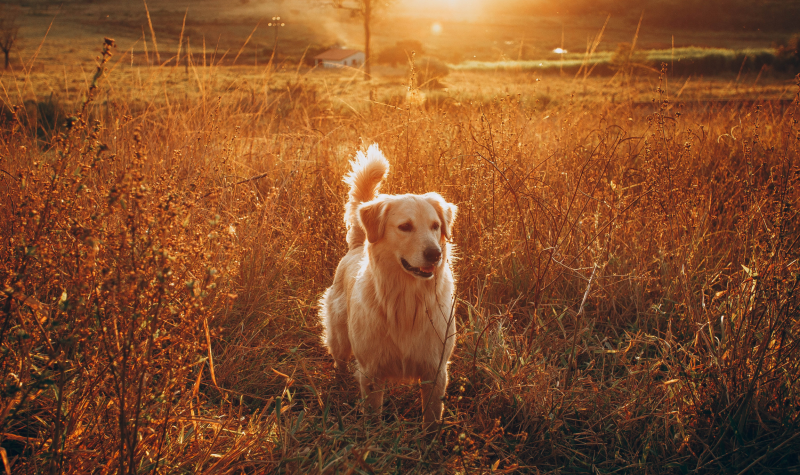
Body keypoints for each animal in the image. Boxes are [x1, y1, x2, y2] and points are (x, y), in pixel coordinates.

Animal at [318, 144, 456, 424]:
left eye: (436, 226)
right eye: (405, 227)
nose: (435, 254)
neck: (408, 299)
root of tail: (358, 244)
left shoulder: (435, 370)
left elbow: (431, 416)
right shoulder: (371, 371)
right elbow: (372, 415)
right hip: (339, 337)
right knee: (339, 361)